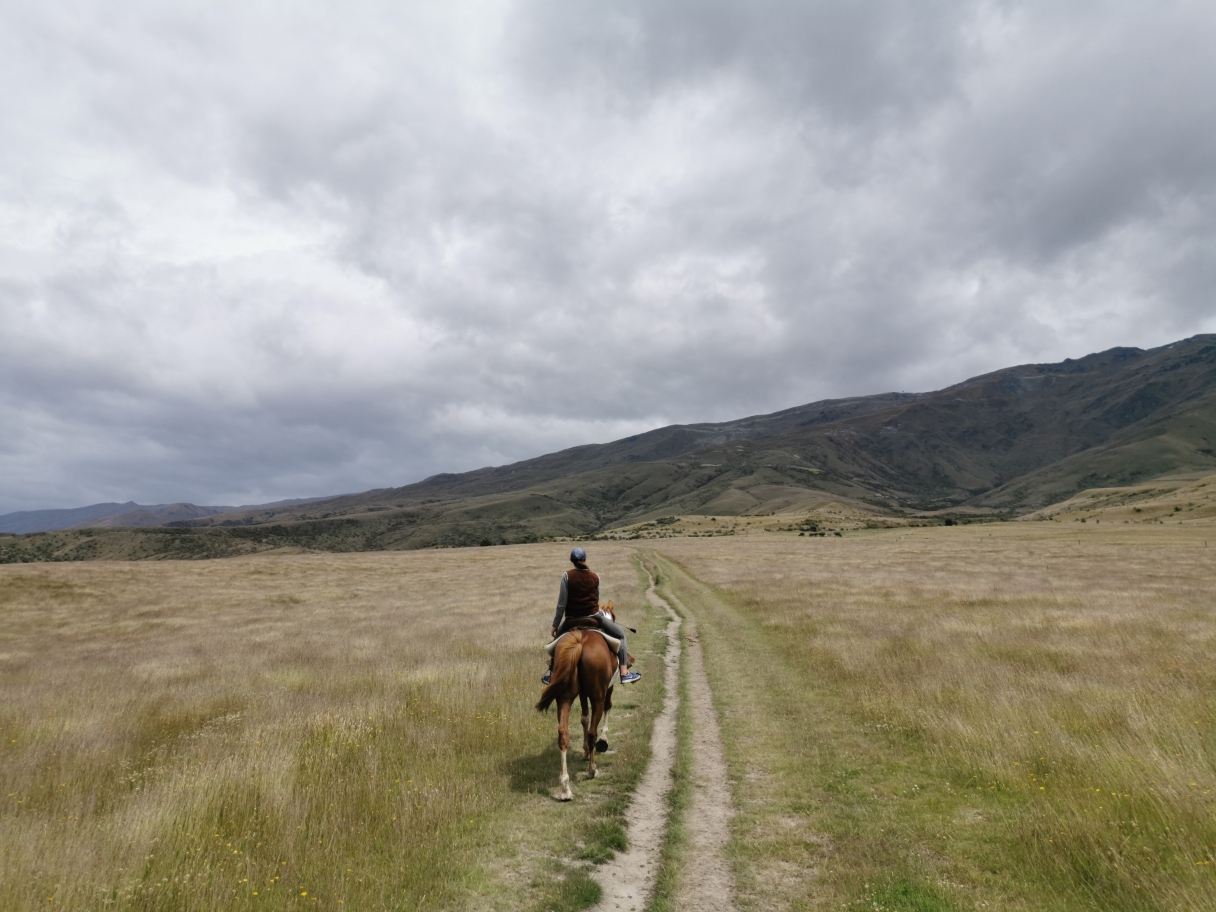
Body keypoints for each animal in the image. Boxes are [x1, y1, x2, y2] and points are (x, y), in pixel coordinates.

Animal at [535, 603, 627, 802]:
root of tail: (579, 642)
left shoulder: (583, 693)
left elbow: (584, 717)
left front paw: (585, 751)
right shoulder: (607, 688)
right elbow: (605, 710)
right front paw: (602, 742)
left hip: (564, 697)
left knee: (563, 733)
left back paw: (565, 788)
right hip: (597, 695)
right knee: (593, 730)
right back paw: (592, 770)